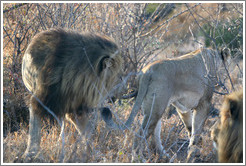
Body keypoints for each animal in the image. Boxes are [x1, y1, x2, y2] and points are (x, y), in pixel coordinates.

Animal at [21, 28, 123, 161]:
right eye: (119, 76)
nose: (120, 92)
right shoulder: (42, 97)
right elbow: (35, 123)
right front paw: (31, 153)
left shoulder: (76, 104)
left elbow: (85, 131)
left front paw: (94, 153)